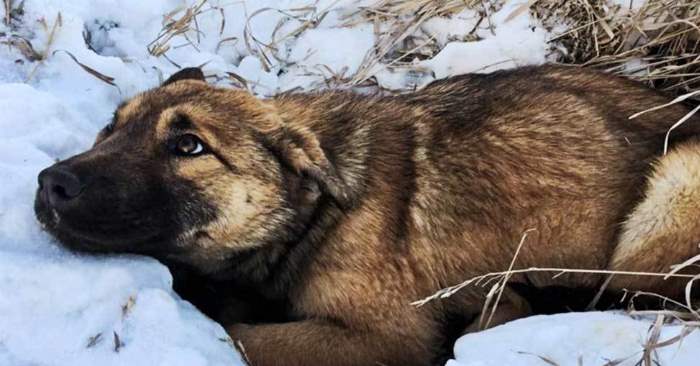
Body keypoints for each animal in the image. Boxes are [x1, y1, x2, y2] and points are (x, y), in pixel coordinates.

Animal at [35, 66, 700, 366]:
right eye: (111, 127)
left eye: (189, 146)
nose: (50, 184)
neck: (314, 216)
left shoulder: (383, 336)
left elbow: (238, 333)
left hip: (676, 182)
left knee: (628, 298)